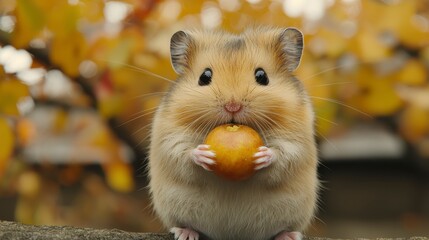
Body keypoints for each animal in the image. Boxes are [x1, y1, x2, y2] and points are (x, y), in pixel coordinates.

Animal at [147, 26, 318, 240]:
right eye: (204, 77)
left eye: (262, 76)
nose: (233, 106)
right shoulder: (169, 135)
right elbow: (181, 150)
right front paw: (203, 154)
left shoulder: (297, 139)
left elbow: (285, 152)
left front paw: (263, 155)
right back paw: (185, 233)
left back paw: (287, 236)